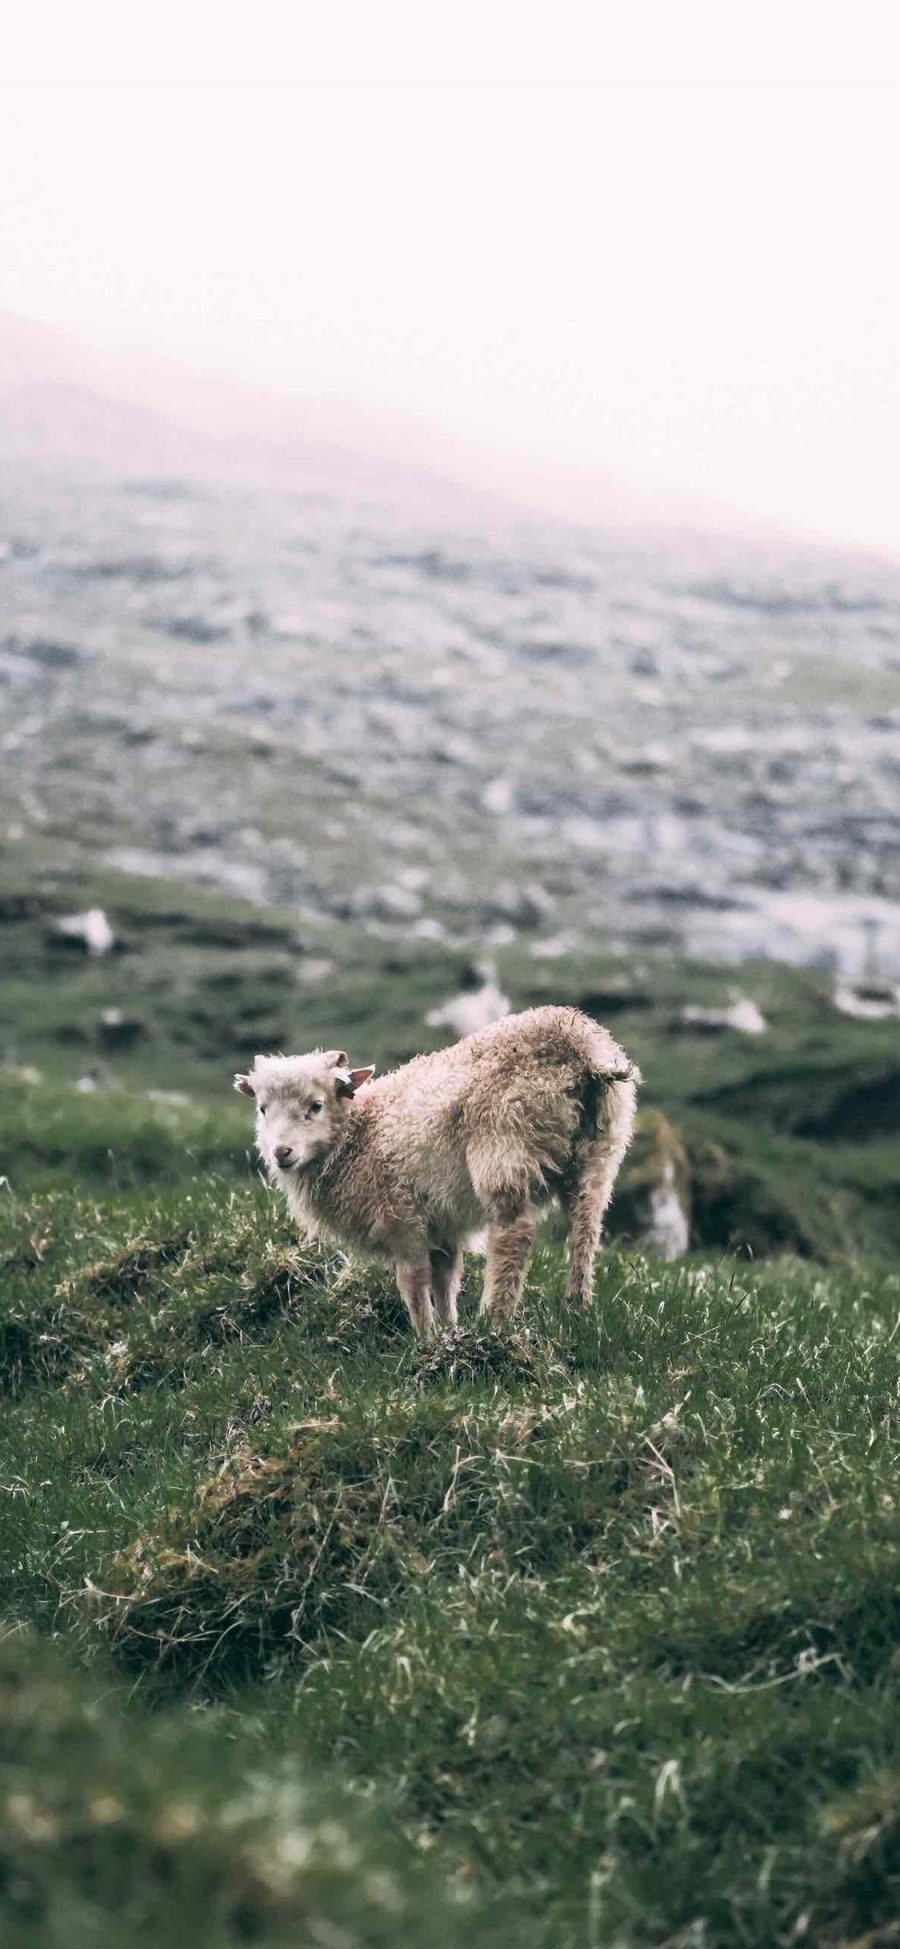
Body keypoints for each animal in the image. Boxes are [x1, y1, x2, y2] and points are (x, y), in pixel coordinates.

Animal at [233, 1005, 638, 1340]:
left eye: (315, 1106)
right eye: (263, 1109)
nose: (281, 1153)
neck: (358, 1135)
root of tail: (579, 1051)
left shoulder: (401, 1217)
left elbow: (414, 1281)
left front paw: (424, 1337)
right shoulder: (442, 1223)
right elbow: (446, 1277)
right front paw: (447, 1329)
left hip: (504, 1145)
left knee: (515, 1234)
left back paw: (494, 1318)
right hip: (598, 1153)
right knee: (584, 1229)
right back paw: (576, 1307)